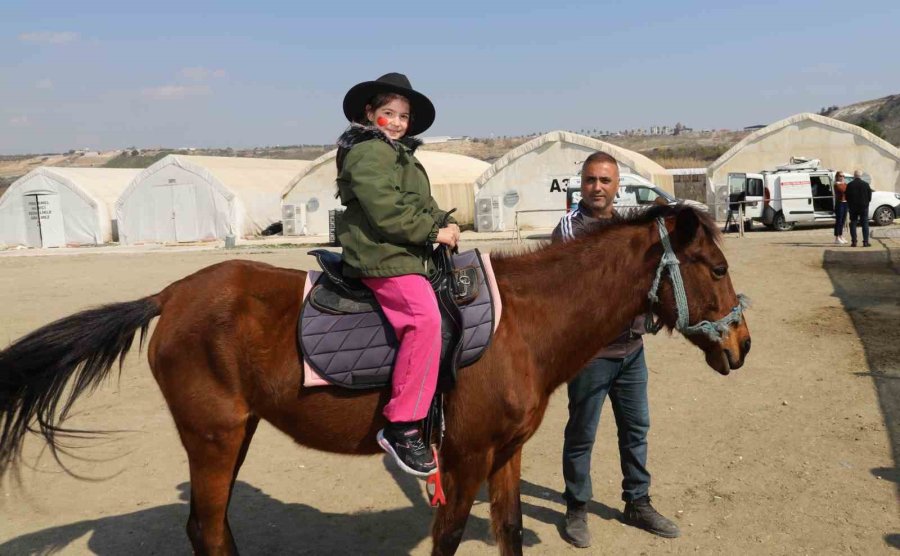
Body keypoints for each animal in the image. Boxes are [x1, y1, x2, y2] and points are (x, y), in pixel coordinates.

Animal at [0, 205, 752, 556]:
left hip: (233, 435)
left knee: (212, 527)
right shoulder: (464, 457)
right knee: (205, 528)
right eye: (715, 268)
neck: (524, 324)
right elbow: (449, 536)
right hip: (212, 437)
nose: (743, 344)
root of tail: (171, 293)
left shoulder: (504, 454)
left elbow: (508, 532)